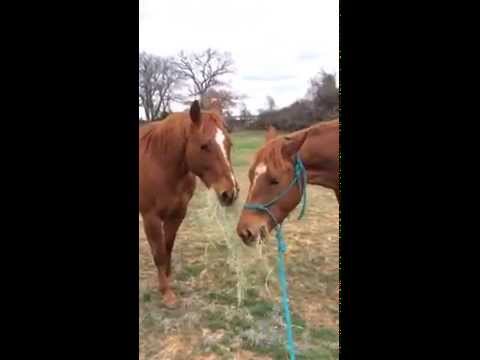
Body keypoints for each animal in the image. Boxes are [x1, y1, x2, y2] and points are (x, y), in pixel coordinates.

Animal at [140, 100, 239, 306]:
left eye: (229, 143)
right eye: (204, 146)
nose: (230, 193)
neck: (160, 163)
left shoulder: (177, 215)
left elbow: (167, 249)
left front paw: (167, 282)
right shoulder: (151, 218)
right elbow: (159, 254)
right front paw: (166, 293)